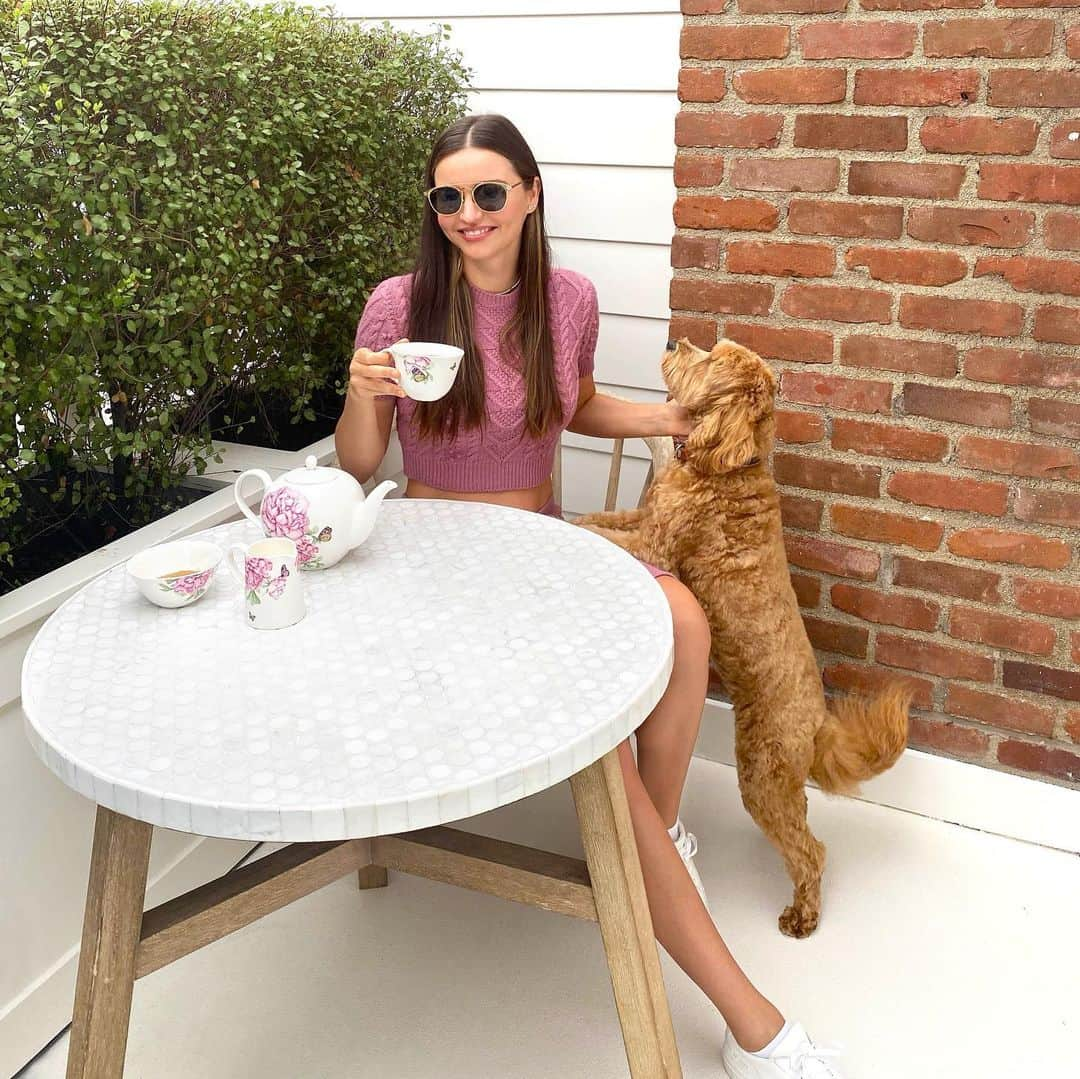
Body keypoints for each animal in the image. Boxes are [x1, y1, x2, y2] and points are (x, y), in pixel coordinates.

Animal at [578, 339, 907, 937]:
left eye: (709, 361)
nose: (674, 341)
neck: (730, 466)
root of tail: (818, 724)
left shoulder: (657, 546)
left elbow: (613, 536)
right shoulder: (646, 518)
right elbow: (608, 518)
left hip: (763, 777)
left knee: (811, 851)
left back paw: (802, 915)